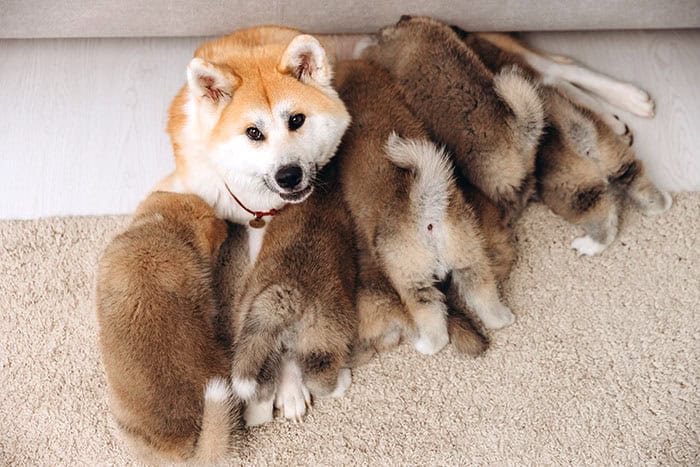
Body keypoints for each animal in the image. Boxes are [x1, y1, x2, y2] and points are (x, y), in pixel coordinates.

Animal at [230, 163, 358, 426]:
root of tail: (288, 296)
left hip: (253, 338)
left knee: (263, 386)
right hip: (324, 342)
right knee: (319, 381)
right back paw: (341, 382)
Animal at [334, 59, 516, 358]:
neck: (365, 93)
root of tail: (424, 205)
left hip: (413, 281)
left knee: (434, 321)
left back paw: (427, 345)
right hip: (469, 258)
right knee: (483, 296)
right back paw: (502, 318)